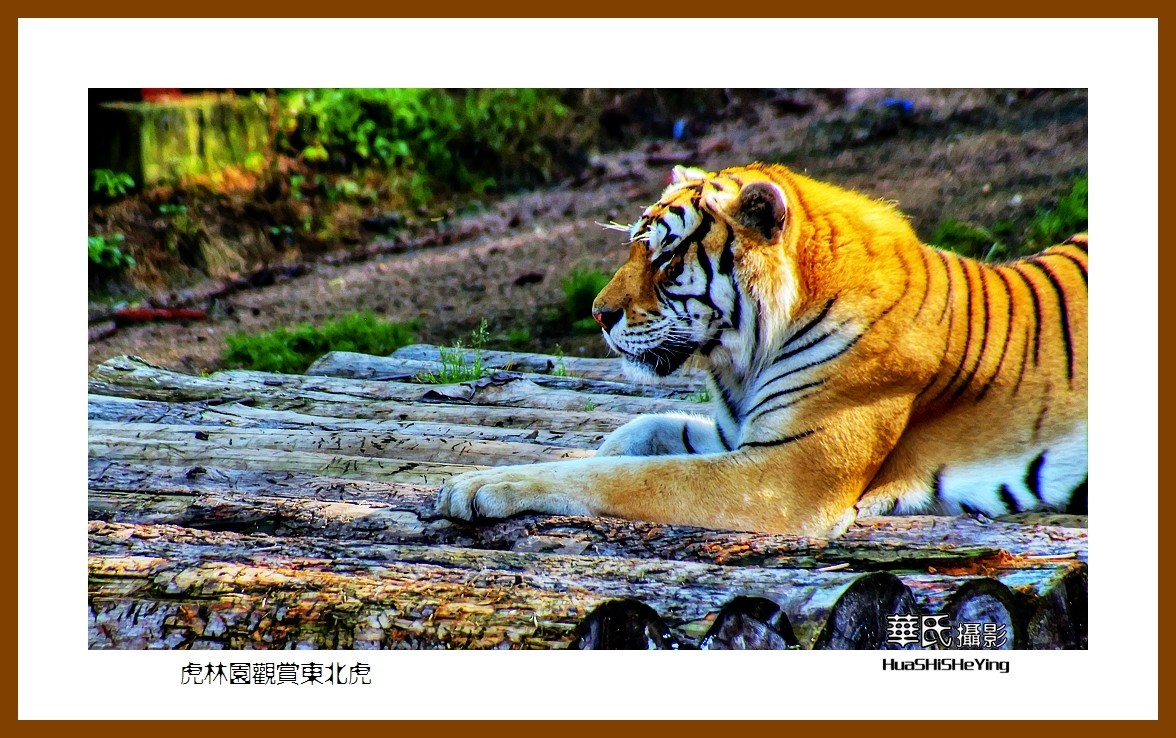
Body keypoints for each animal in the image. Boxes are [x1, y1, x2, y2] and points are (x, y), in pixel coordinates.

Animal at [436, 162, 1088, 537]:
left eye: (666, 258)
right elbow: (638, 433)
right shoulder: (742, 437)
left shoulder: (781, 475)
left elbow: (629, 476)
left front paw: (479, 486)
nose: (598, 314)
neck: (740, 361)